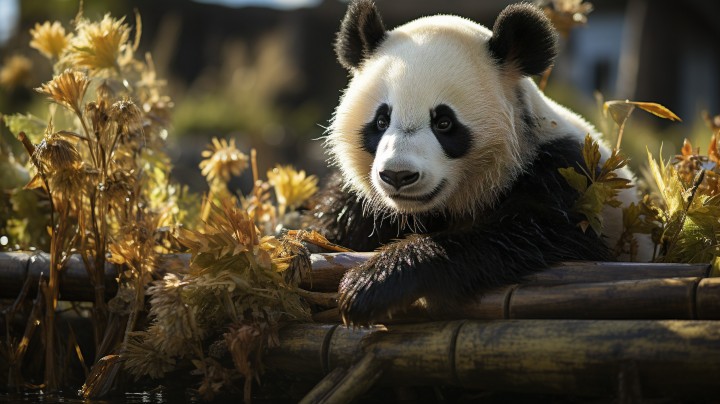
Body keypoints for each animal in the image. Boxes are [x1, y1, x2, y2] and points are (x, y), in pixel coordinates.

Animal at [312, 0, 648, 326]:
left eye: (444, 123)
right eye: (381, 121)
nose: (398, 175)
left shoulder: (564, 175)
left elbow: (540, 235)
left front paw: (371, 283)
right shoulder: (357, 205)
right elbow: (335, 225)